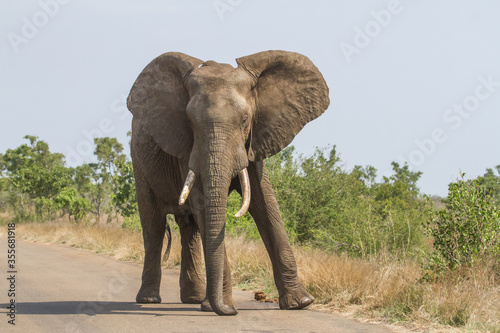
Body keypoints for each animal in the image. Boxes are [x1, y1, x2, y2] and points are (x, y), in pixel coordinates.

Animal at [127, 49, 330, 314]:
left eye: (245, 119)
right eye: (189, 121)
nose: (231, 310)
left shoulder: (255, 140)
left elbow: (266, 203)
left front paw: (301, 303)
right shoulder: (186, 145)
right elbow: (203, 203)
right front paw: (222, 307)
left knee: (189, 228)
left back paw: (193, 299)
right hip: (139, 161)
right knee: (154, 225)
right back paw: (150, 299)